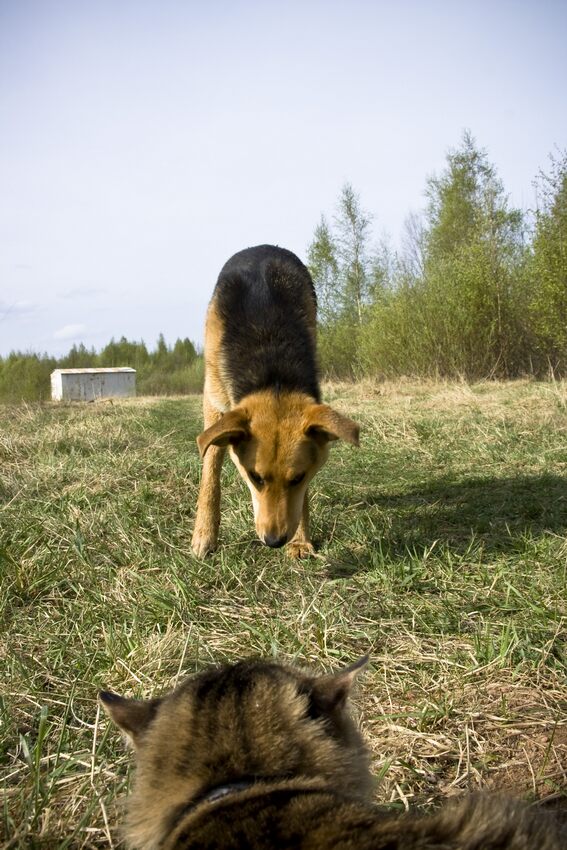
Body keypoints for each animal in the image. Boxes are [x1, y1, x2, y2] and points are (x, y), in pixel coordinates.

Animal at [191, 245, 360, 556]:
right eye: (255, 477)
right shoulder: (214, 402)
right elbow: (211, 468)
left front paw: (301, 541)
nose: (274, 541)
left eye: (298, 478)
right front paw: (204, 533)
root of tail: (262, 246)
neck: (273, 373)